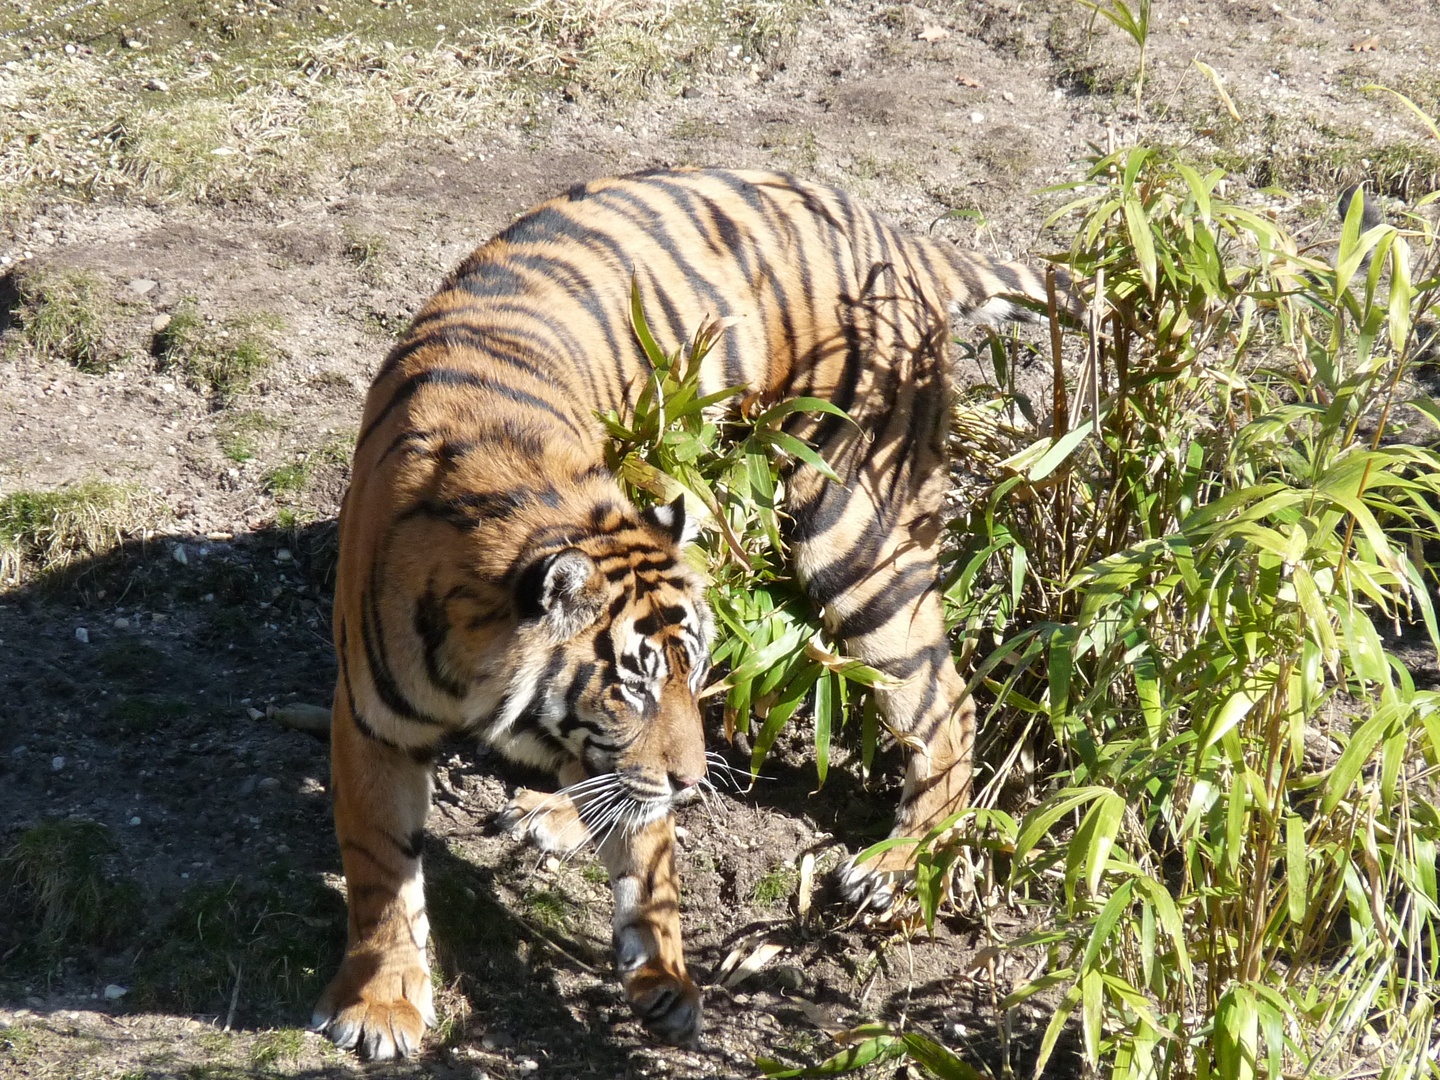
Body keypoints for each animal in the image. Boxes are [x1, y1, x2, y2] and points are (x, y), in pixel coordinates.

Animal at [312, 164, 1071, 1059]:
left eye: (683, 673)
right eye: (632, 686)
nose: (688, 782)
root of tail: (890, 232)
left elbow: (651, 861)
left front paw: (667, 977)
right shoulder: (374, 720)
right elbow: (381, 870)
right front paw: (382, 1003)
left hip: (854, 519)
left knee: (945, 702)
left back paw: (892, 867)